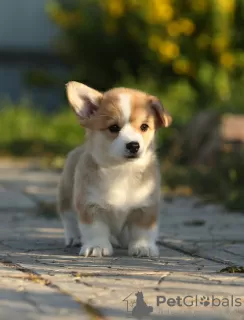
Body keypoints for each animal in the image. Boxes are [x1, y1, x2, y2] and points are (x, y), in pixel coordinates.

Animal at [57, 82, 172, 258]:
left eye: (144, 127)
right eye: (114, 127)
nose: (133, 145)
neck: (121, 169)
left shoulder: (147, 207)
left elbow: (143, 231)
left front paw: (143, 247)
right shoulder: (89, 205)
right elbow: (94, 229)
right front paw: (96, 246)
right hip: (66, 195)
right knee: (68, 218)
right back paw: (74, 238)